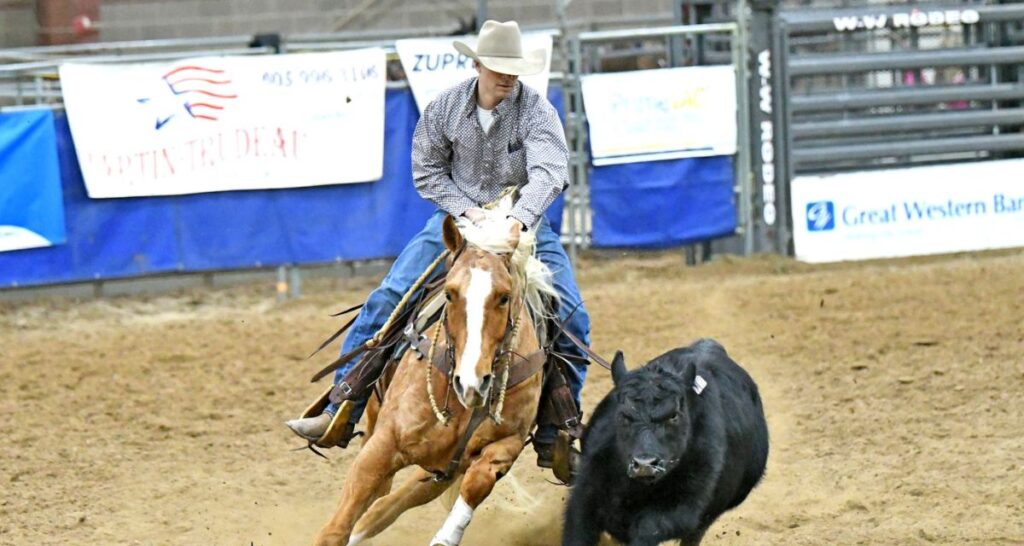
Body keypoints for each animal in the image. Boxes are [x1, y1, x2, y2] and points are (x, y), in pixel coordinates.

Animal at [315, 210, 561, 544]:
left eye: (504, 297)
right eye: (449, 294)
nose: (471, 383)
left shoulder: (504, 445)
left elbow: (477, 482)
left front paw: (445, 537)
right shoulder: (383, 444)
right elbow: (336, 528)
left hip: (439, 472)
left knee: (386, 507)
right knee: (379, 497)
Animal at [561, 338, 770, 540]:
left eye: (674, 415)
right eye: (623, 414)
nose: (644, 464)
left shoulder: (684, 507)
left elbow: (649, 527)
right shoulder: (584, 500)